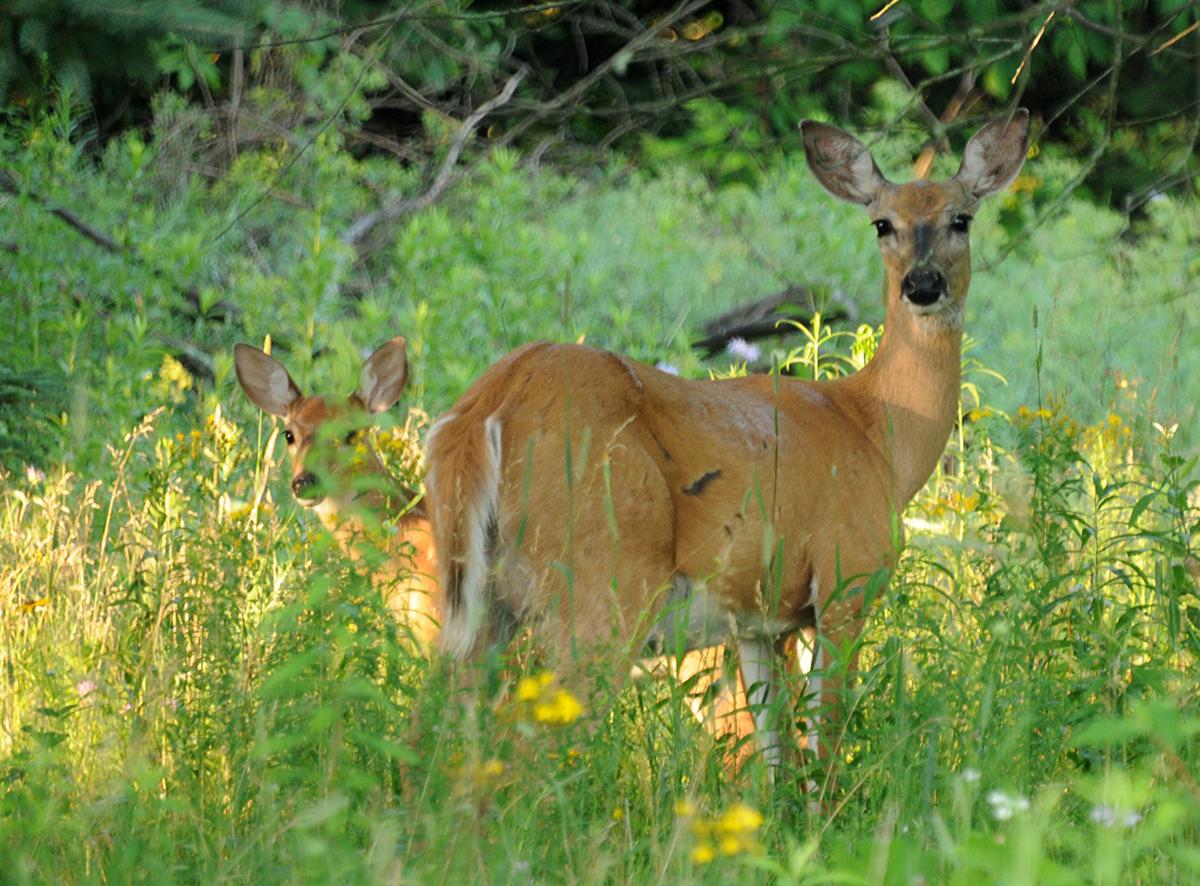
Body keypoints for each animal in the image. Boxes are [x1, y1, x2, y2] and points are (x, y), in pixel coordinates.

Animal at [424, 110, 1029, 778]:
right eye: (882, 223)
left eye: (960, 218)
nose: (922, 285)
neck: (876, 432)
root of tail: (490, 406)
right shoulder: (845, 578)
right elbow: (823, 750)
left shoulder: (759, 619)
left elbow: (774, 763)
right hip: (600, 587)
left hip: (478, 602)